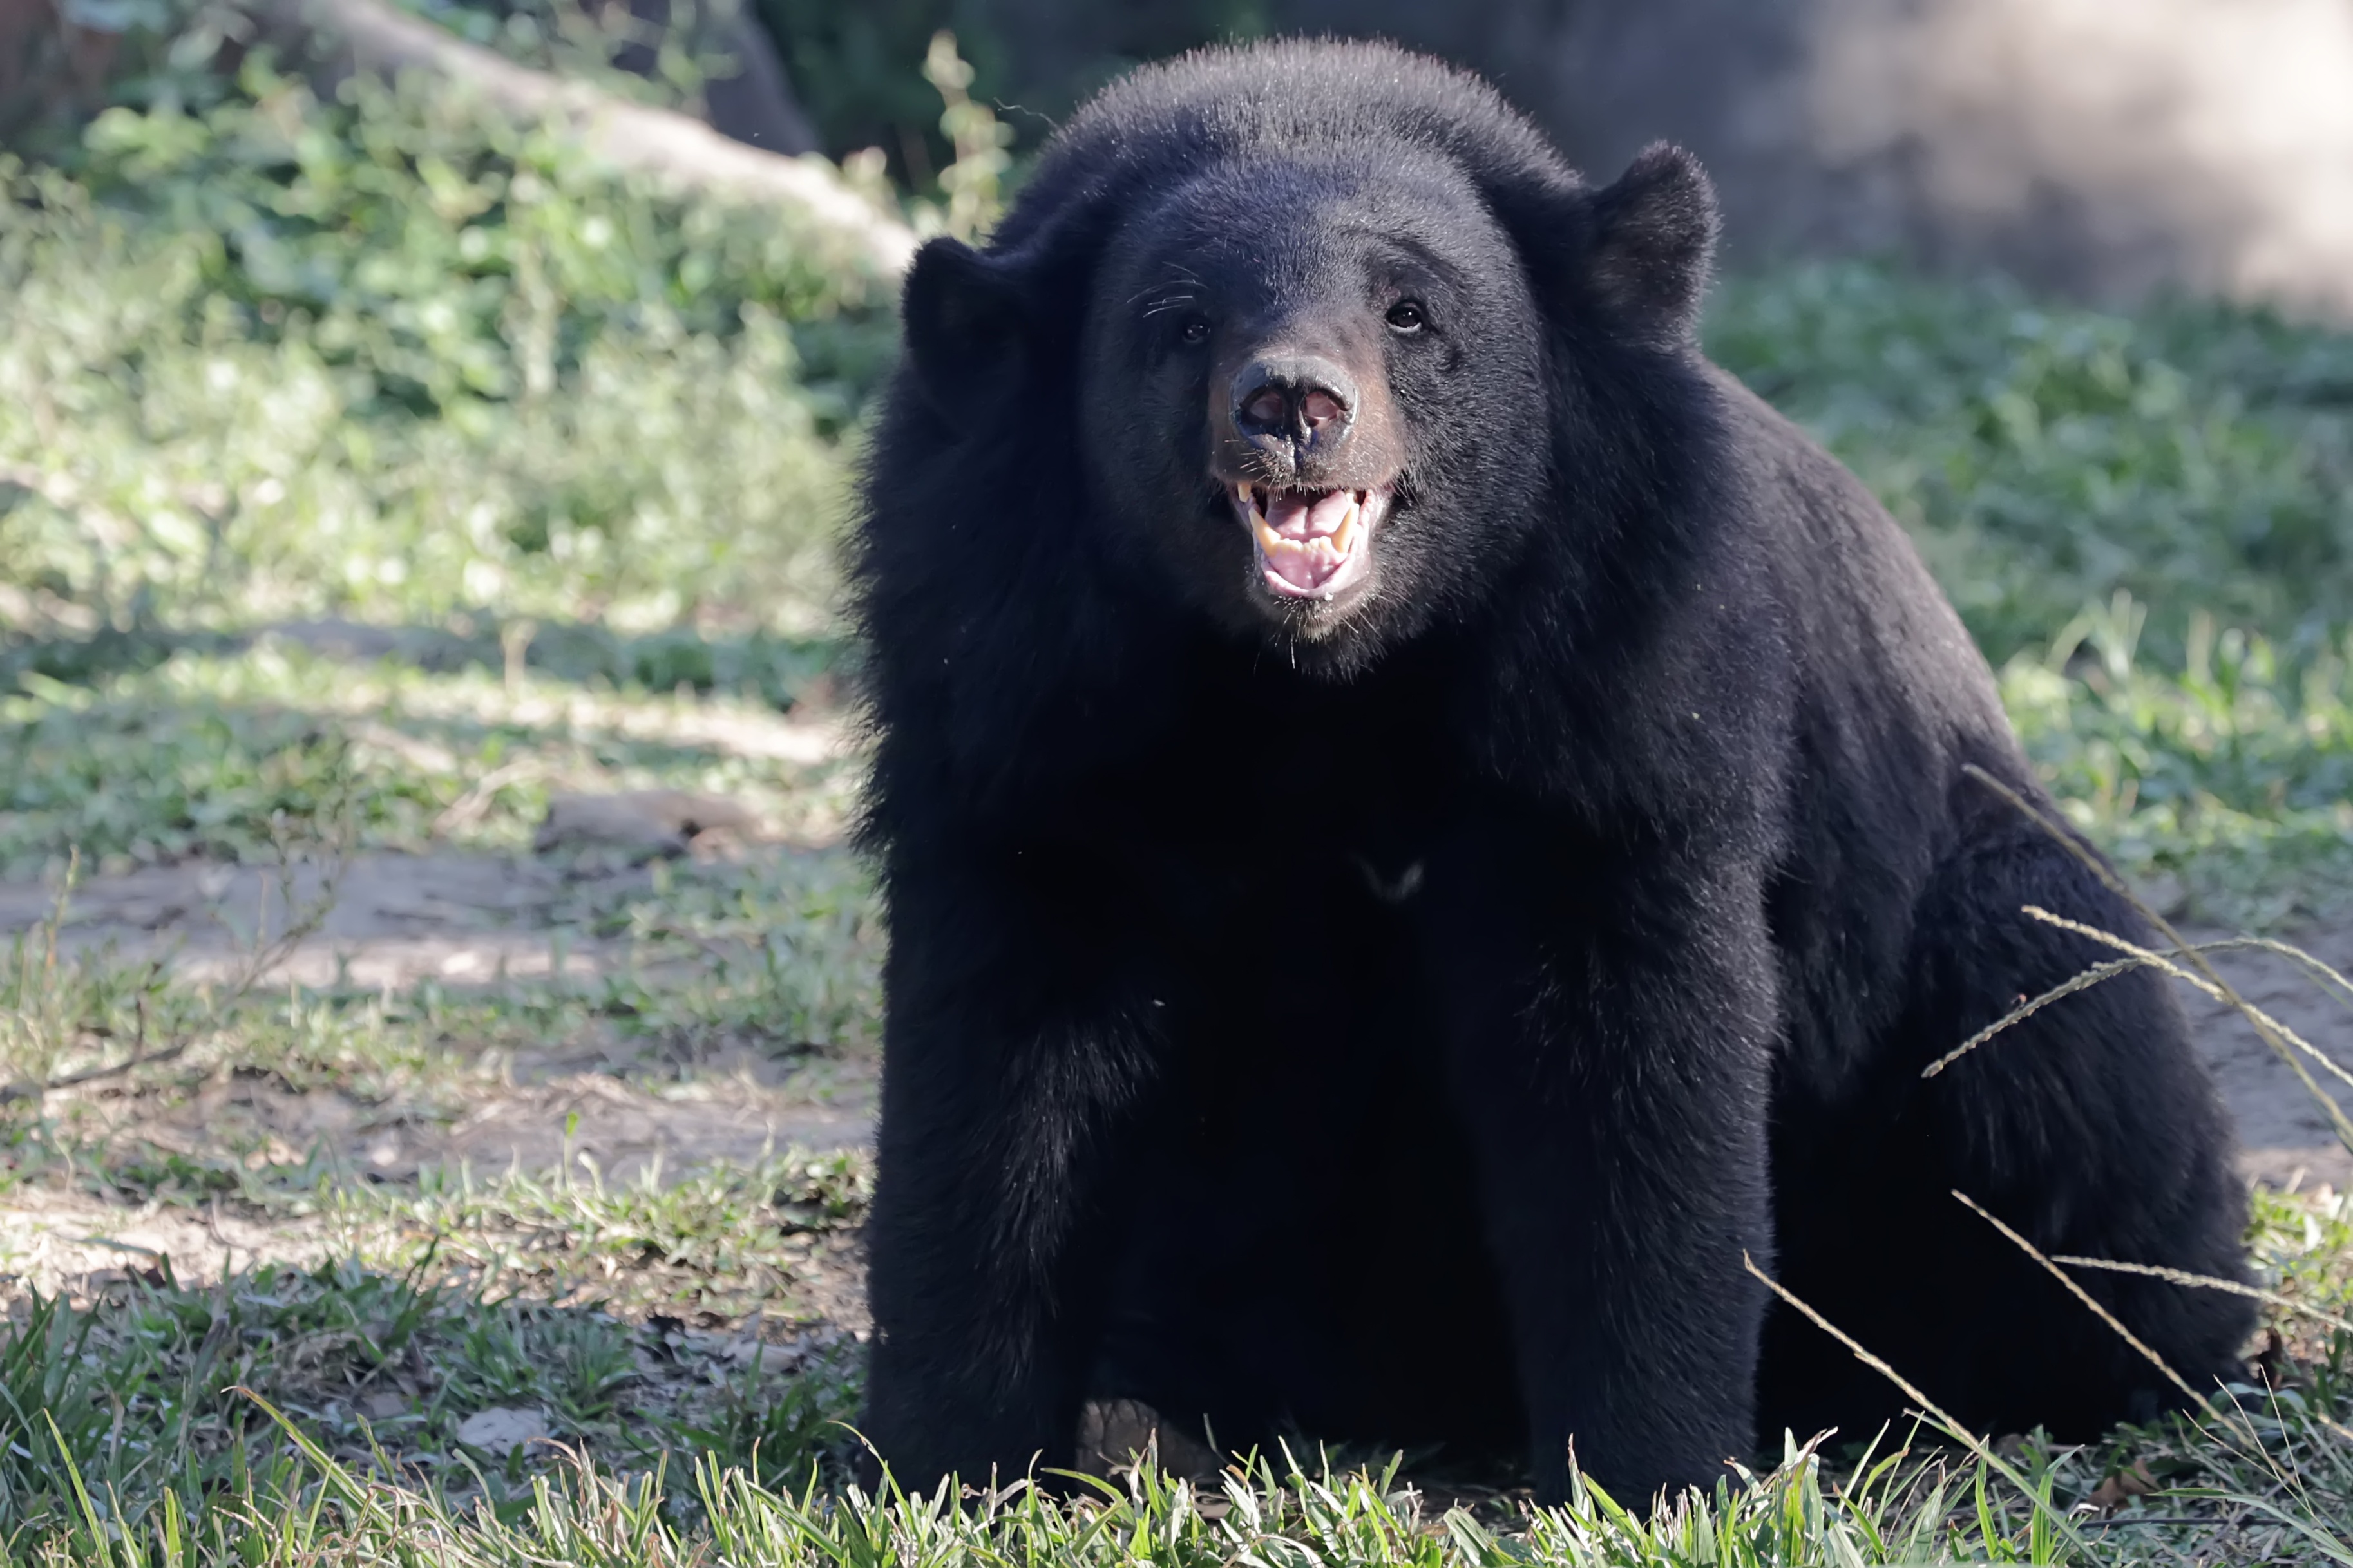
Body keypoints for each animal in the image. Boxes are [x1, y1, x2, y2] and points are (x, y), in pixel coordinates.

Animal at [849, 38, 2255, 1506]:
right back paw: (1141, 1418)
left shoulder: (1620, 651)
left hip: (1978, 941)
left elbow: (1623, 1040)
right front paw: (949, 1457)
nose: (1291, 408)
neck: (1319, 678)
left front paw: (1651, 1469)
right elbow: (1011, 1041)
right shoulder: (1009, 662)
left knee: (2057, 1055)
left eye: (1408, 312)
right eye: (1177, 321)